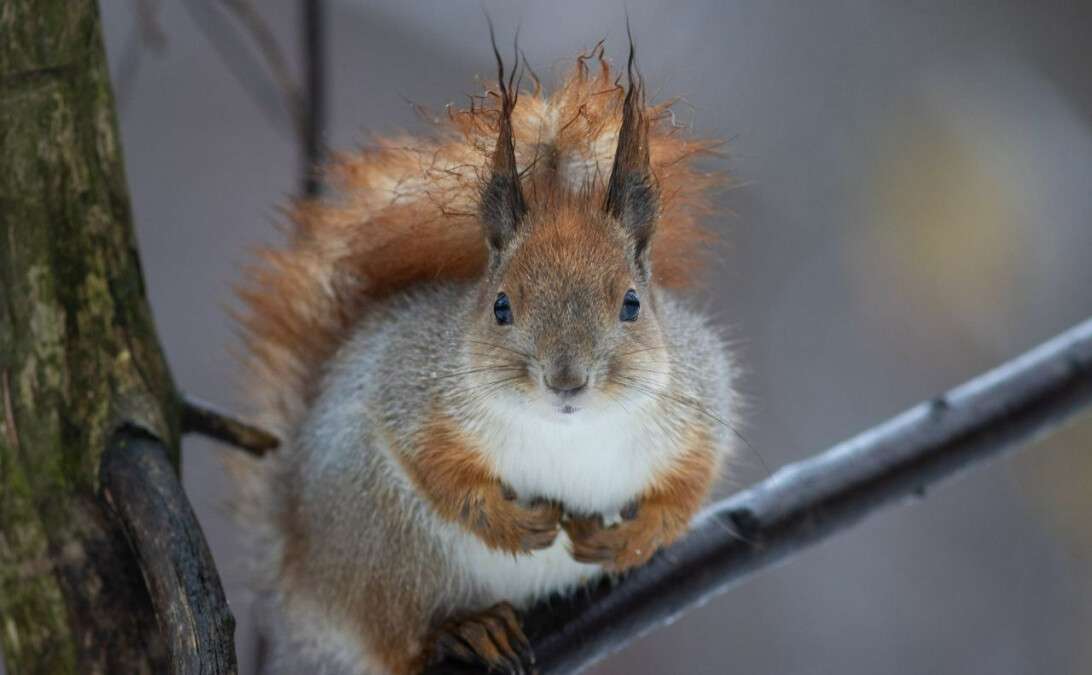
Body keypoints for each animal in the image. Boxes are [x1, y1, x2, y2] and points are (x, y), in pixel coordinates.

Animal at [233, 35, 738, 672]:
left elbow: (691, 482)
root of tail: (298, 577)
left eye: (632, 304)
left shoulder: (697, 402)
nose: (566, 381)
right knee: (395, 637)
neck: (568, 432)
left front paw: (632, 537)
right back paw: (463, 630)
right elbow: (434, 465)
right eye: (500, 307)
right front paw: (506, 524)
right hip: (380, 542)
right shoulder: (411, 385)